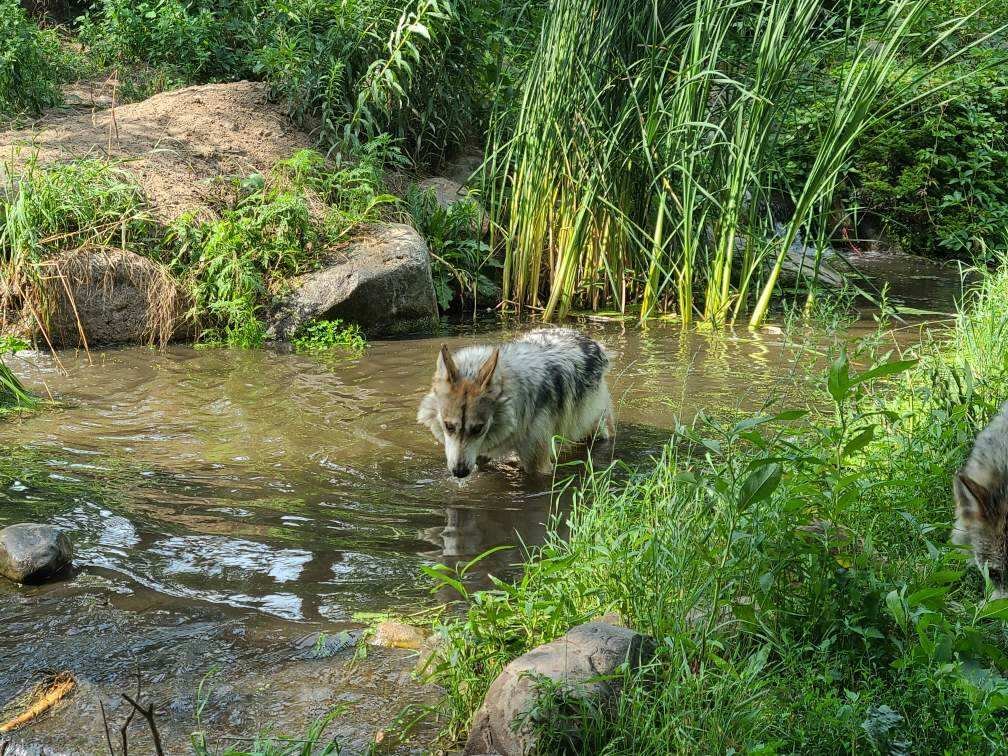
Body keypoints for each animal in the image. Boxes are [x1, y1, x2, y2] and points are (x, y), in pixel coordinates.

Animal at [416, 328, 615, 478]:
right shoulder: (481, 455)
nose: (459, 472)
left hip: (597, 428)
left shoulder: (538, 466)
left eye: (478, 428)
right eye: (449, 426)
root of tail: (592, 341)